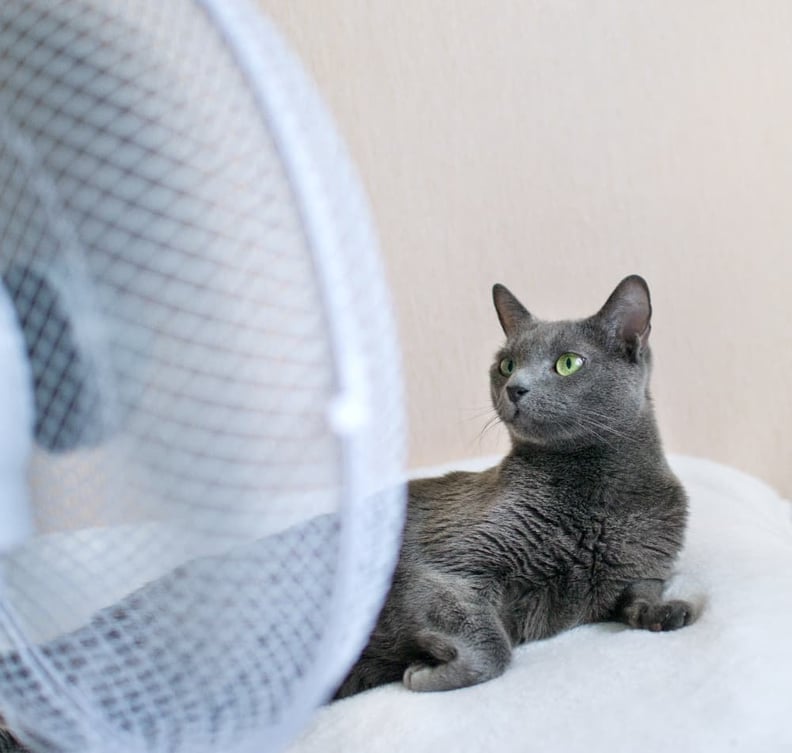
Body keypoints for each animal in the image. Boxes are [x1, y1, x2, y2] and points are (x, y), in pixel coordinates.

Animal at [334, 272, 692, 700]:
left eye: (568, 363)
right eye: (506, 365)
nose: (515, 387)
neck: (601, 500)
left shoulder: (642, 571)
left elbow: (640, 595)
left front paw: (665, 612)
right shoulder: (441, 568)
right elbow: (494, 649)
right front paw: (423, 673)